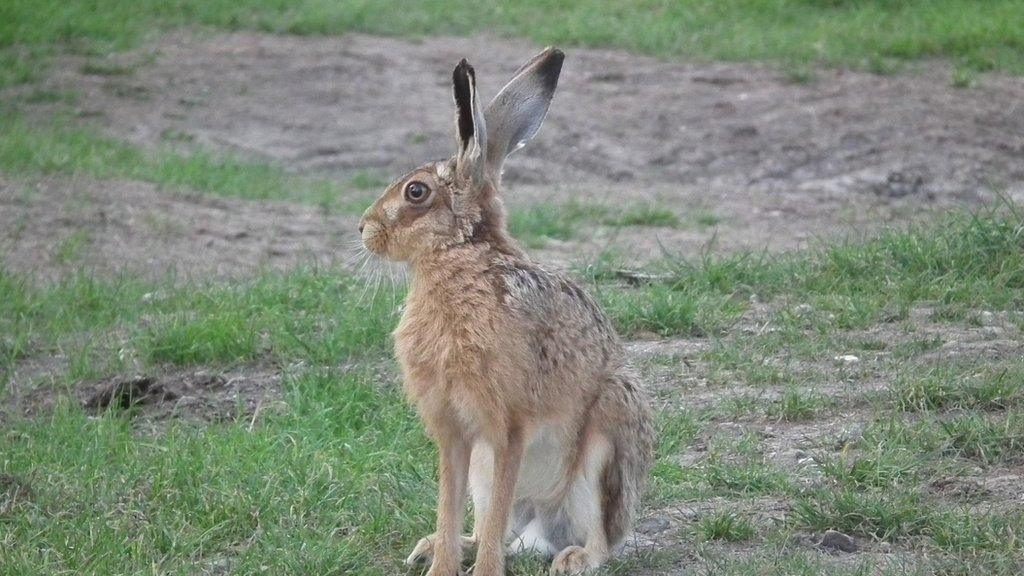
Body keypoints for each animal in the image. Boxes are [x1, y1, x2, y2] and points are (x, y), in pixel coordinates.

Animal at [358, 48, 653, 576]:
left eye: (416, 192)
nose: (363, 230)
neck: (461, 257)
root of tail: (545, 525)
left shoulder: (509, 425)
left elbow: (495, 506)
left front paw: (484, 572)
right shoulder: (454, 432)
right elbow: (450, 505)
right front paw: (442, 566)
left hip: (604, 443)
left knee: (598, 539)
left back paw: (573, 558)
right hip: (484, 465)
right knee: (496, 527)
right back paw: (435, 547)